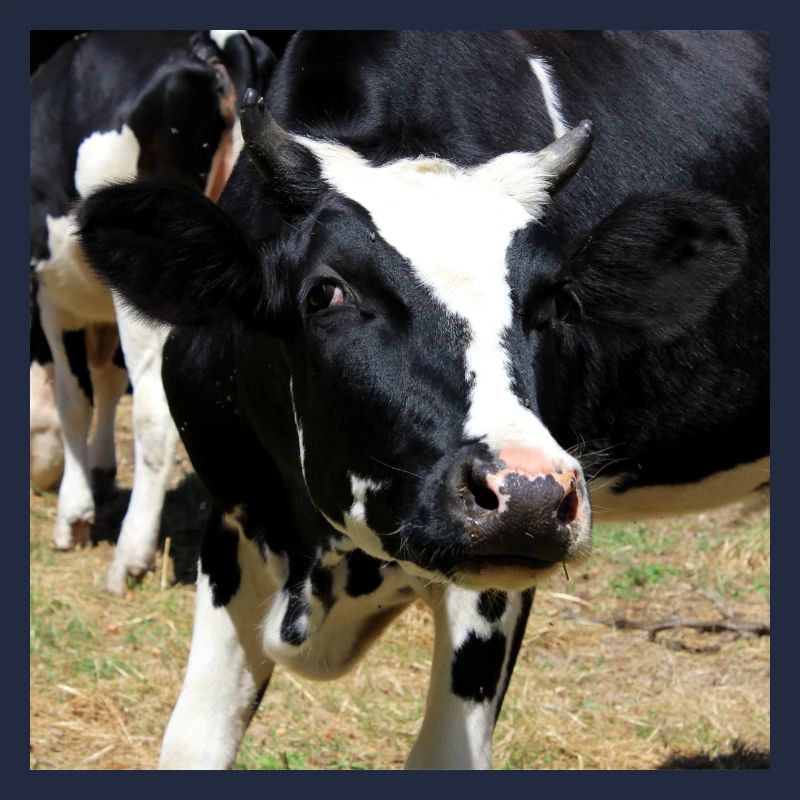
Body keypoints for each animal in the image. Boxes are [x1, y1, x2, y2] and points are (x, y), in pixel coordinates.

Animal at [30, 30, 275, 594]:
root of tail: (211, 45)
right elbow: (106, 379)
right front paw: (101, 471)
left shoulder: (54, 294)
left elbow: (75, 398)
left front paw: (74, 514)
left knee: (154, 412)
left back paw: (130, 556)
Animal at [77, 31, 768, 769]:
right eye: (326, 292)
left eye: (556, 304)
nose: (530, 494)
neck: (321, 562)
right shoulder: (236, 516)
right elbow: (191, 741)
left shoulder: (491, 584)